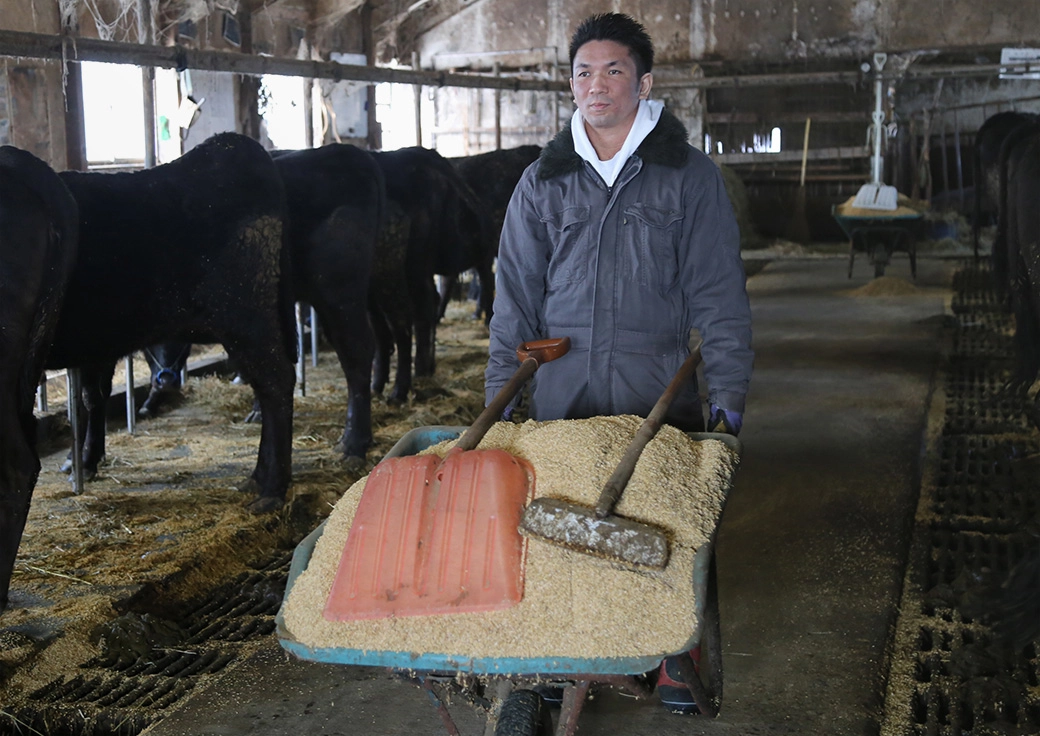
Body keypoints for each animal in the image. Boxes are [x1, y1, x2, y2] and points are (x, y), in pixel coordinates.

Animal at [50, 132, 299, 511]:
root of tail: (231, 145)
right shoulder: (95, 344)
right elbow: (91, 397)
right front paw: (86, 460)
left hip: (245, 313)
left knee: (276, 381)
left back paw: (270, 488)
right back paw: (257, 477)